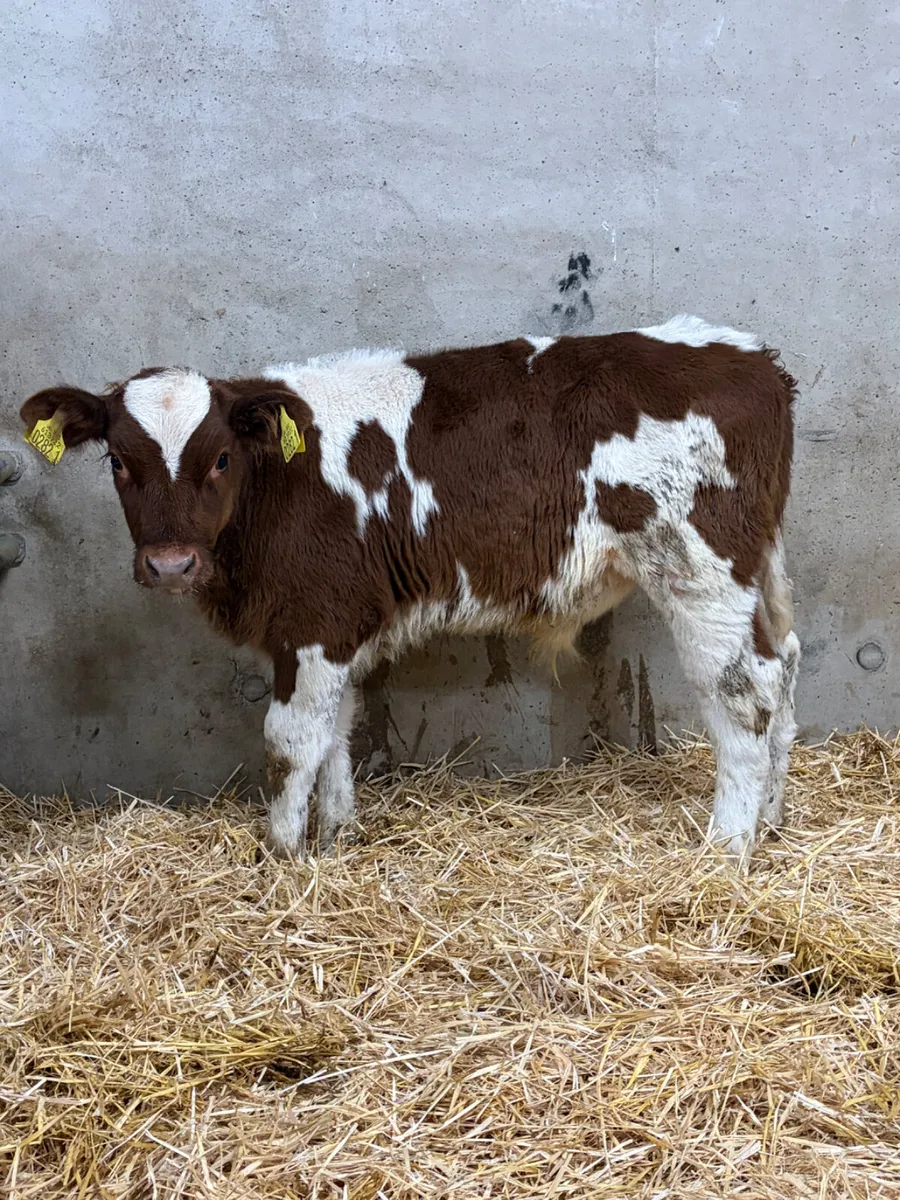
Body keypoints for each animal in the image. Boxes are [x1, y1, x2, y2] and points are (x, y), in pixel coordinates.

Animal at [21, 315, 799, 864]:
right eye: (118, 462)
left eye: (218, 459)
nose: (171, 564)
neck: (277, 485)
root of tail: (751, 357)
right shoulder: (338, 631)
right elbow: (336, 732)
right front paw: (335, 839)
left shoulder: (314, 621)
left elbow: (291, 742)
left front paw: (280, 855)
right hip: (757, 568)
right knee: (785, 665)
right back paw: (773, 820)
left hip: (700, 568)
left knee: (744, 692)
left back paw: (729, 844)